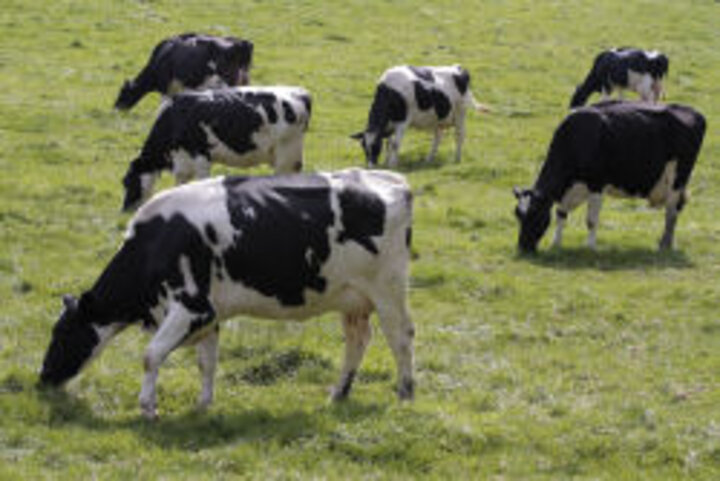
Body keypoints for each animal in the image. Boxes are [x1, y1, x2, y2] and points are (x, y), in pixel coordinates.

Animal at [39, 167, 416, 418]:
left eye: (61, 332)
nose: (43, 378)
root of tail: (392, 180)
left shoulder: (191, 307)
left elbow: (151, 354)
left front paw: (148, 407)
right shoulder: (210, 315)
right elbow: (207, 361)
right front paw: (203, 405)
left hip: (388, 290)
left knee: (401, 337)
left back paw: (405, 393)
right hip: (352, 298)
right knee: (358, 340)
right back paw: (339, 393)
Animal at [350, 64, 490, 168]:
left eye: (376, 146)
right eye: (364, 147)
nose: (370, 166)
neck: (391, 92)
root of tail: (458, 68)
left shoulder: (403, 121)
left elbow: (395, 144)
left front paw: (392, 165)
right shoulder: (388, 125)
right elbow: (389, 143)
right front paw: (386, 161)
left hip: (461, 111)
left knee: (459, 135)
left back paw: (457, 158)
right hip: (438, 119)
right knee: (437, 137)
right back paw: (429, 159)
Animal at [516, 100, 704, 253]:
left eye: (535, 214)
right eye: (518, 214)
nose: (523, 248)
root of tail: (693, 111)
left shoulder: (597, 185)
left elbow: (591, 220)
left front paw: (590, 247)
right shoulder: (568, 190)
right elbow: (560, 215)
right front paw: (556, 244)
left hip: (677, 179)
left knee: (671, 213)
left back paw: (665, 245)